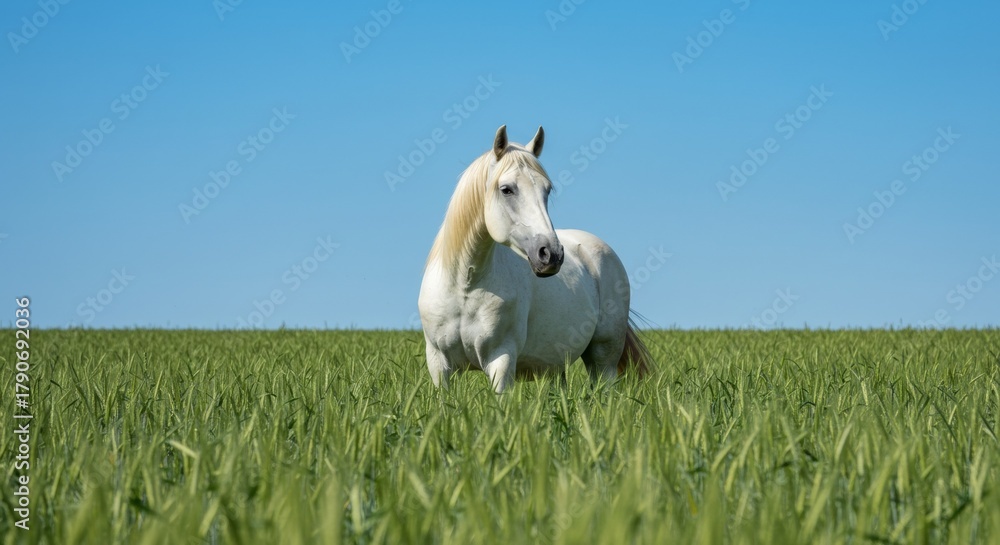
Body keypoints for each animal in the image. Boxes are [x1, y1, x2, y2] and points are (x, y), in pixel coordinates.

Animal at [418, 125, 652, 393]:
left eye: (546, 190)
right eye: (506, 189)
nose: (551, 254)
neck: (464, 286)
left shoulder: (501, 359)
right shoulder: (439, 364)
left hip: (603, 359)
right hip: (555, 367)